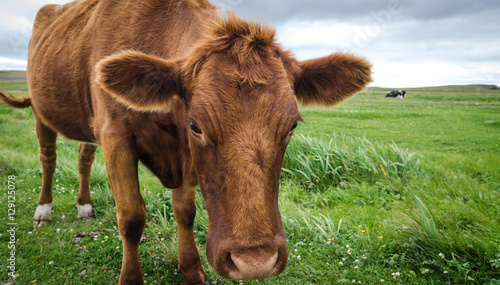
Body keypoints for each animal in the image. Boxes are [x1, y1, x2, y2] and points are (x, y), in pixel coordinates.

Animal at [0, 0, 372, 282]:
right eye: (196, 125)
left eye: (292, 125)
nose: (255, 262)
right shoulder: (115, 134)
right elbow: (131, 217)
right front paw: (131, 278)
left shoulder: (182, 158)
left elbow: (185, 212)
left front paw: (191, 270)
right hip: (42, 113)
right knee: (48, 158)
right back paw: (43, 210)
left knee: (83, 157)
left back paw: (84, 206)